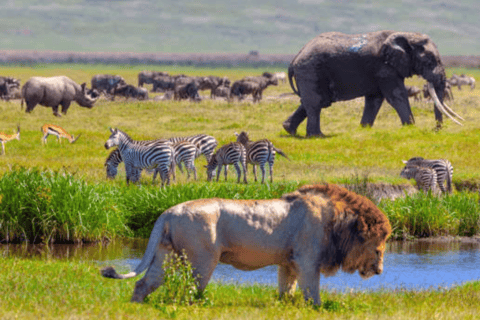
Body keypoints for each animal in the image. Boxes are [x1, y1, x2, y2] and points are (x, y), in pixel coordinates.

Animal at [101, 182, 390, 304]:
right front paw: (317, 309)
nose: (379, 271)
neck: (338, 221)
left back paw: (136, 306)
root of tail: (168, 212)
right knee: (191, 290)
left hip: (166, 255)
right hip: (202, 259)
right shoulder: (308, 260)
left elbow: (287, 289)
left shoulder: (288, 262)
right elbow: (312, 292)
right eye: (378, 249)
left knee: (144, 283)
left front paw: (284, 305)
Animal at [284, 31, 464, 138]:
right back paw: (317, 136)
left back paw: (290, 130)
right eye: (429, 62)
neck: (405, 35)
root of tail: (294, 60)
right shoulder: (385, 68)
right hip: (310, 70)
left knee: (314, 102)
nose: (436, 130)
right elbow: (396, 96)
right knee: (316, 103)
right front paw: (410, 128)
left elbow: (374, 100)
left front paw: (364, 130)